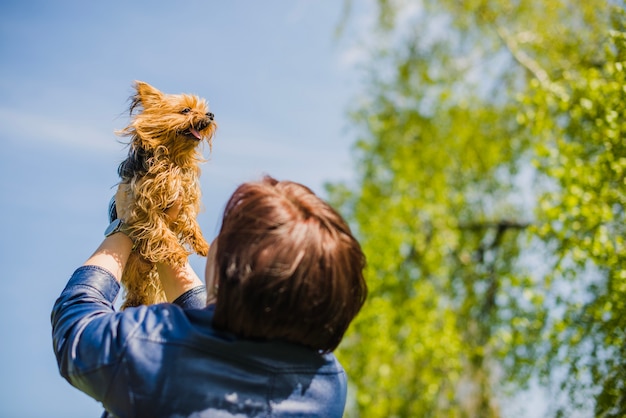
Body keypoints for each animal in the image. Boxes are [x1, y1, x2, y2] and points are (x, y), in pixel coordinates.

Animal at [113, 81, 216, 308]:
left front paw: (203, 245)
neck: (173, 159)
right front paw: (176, 252)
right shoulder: (142, 205)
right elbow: (160, 229)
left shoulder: (184, 199)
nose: (211, 114)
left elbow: (190, 222)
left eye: (205, 110)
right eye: (186, 110)